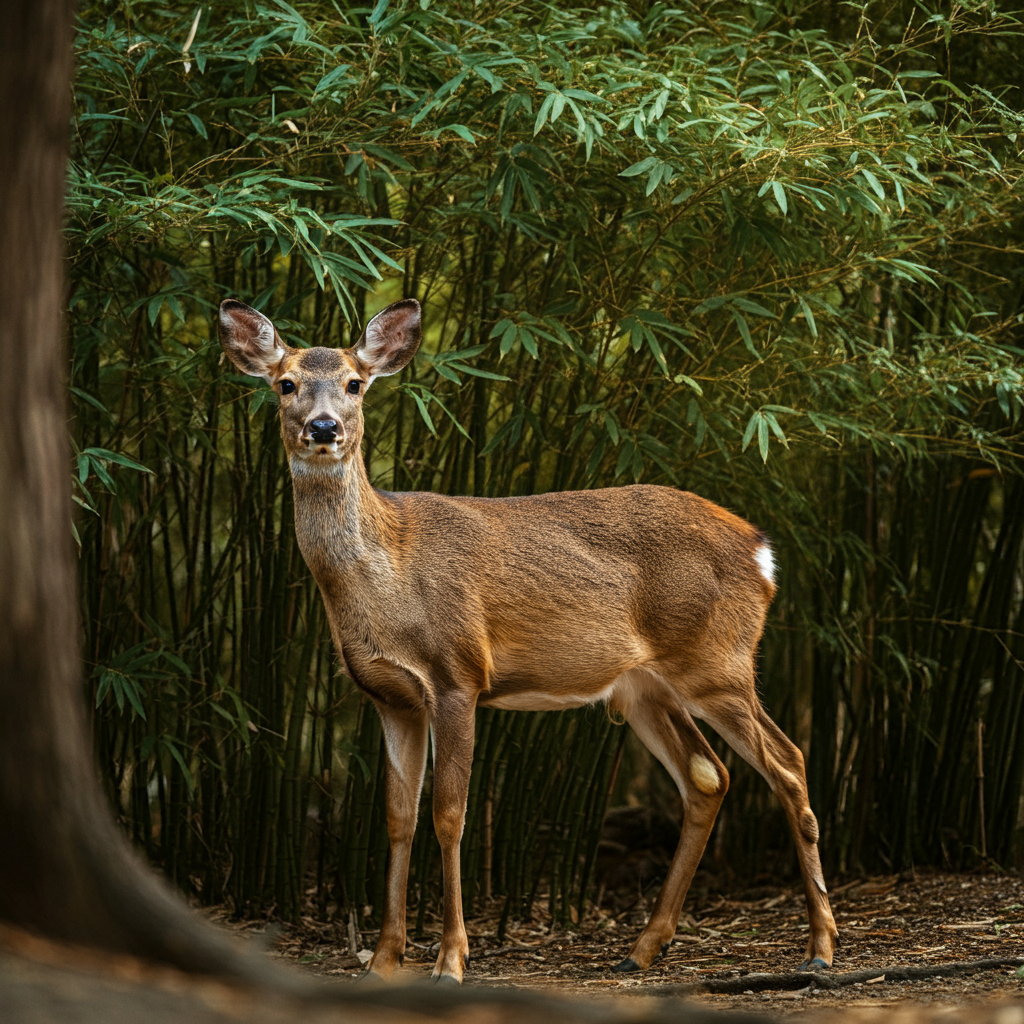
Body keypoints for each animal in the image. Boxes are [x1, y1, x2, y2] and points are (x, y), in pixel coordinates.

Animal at [220, 294, 835, 983]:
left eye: (355, 383)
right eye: (285, 383)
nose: (324, 428)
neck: (386, 575)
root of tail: (764, 552)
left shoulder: (458, 675)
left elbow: (450, 815)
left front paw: (451, 960)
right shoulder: (390, 696)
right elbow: (398, 818)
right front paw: (382, 958)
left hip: (717, 661)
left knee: (789, 762)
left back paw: (820, 947)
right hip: (643, 688)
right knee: (708, 777)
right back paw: (643, 947)